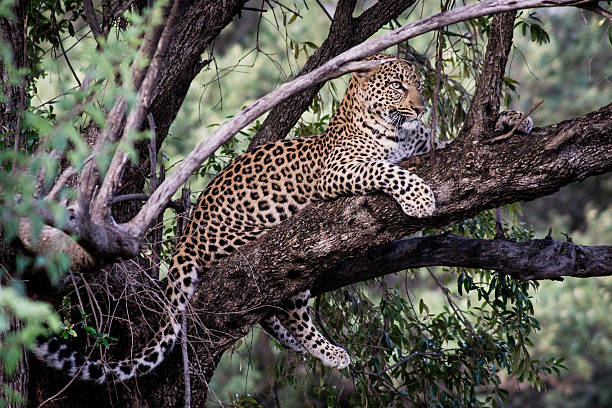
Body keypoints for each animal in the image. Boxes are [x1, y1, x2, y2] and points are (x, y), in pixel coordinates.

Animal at [33, 53, 532, 382]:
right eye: (397, 86)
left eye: (417, 84)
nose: (421, 105)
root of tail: (186, 237)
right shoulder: (340, 169)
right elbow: (387, 170)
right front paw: (420, 199)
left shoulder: (430, 149)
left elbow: (453, 144)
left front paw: (514, 119)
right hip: (276, 250)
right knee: (287, 312)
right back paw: (331, 351)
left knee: (276, 317)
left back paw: (329, 354)